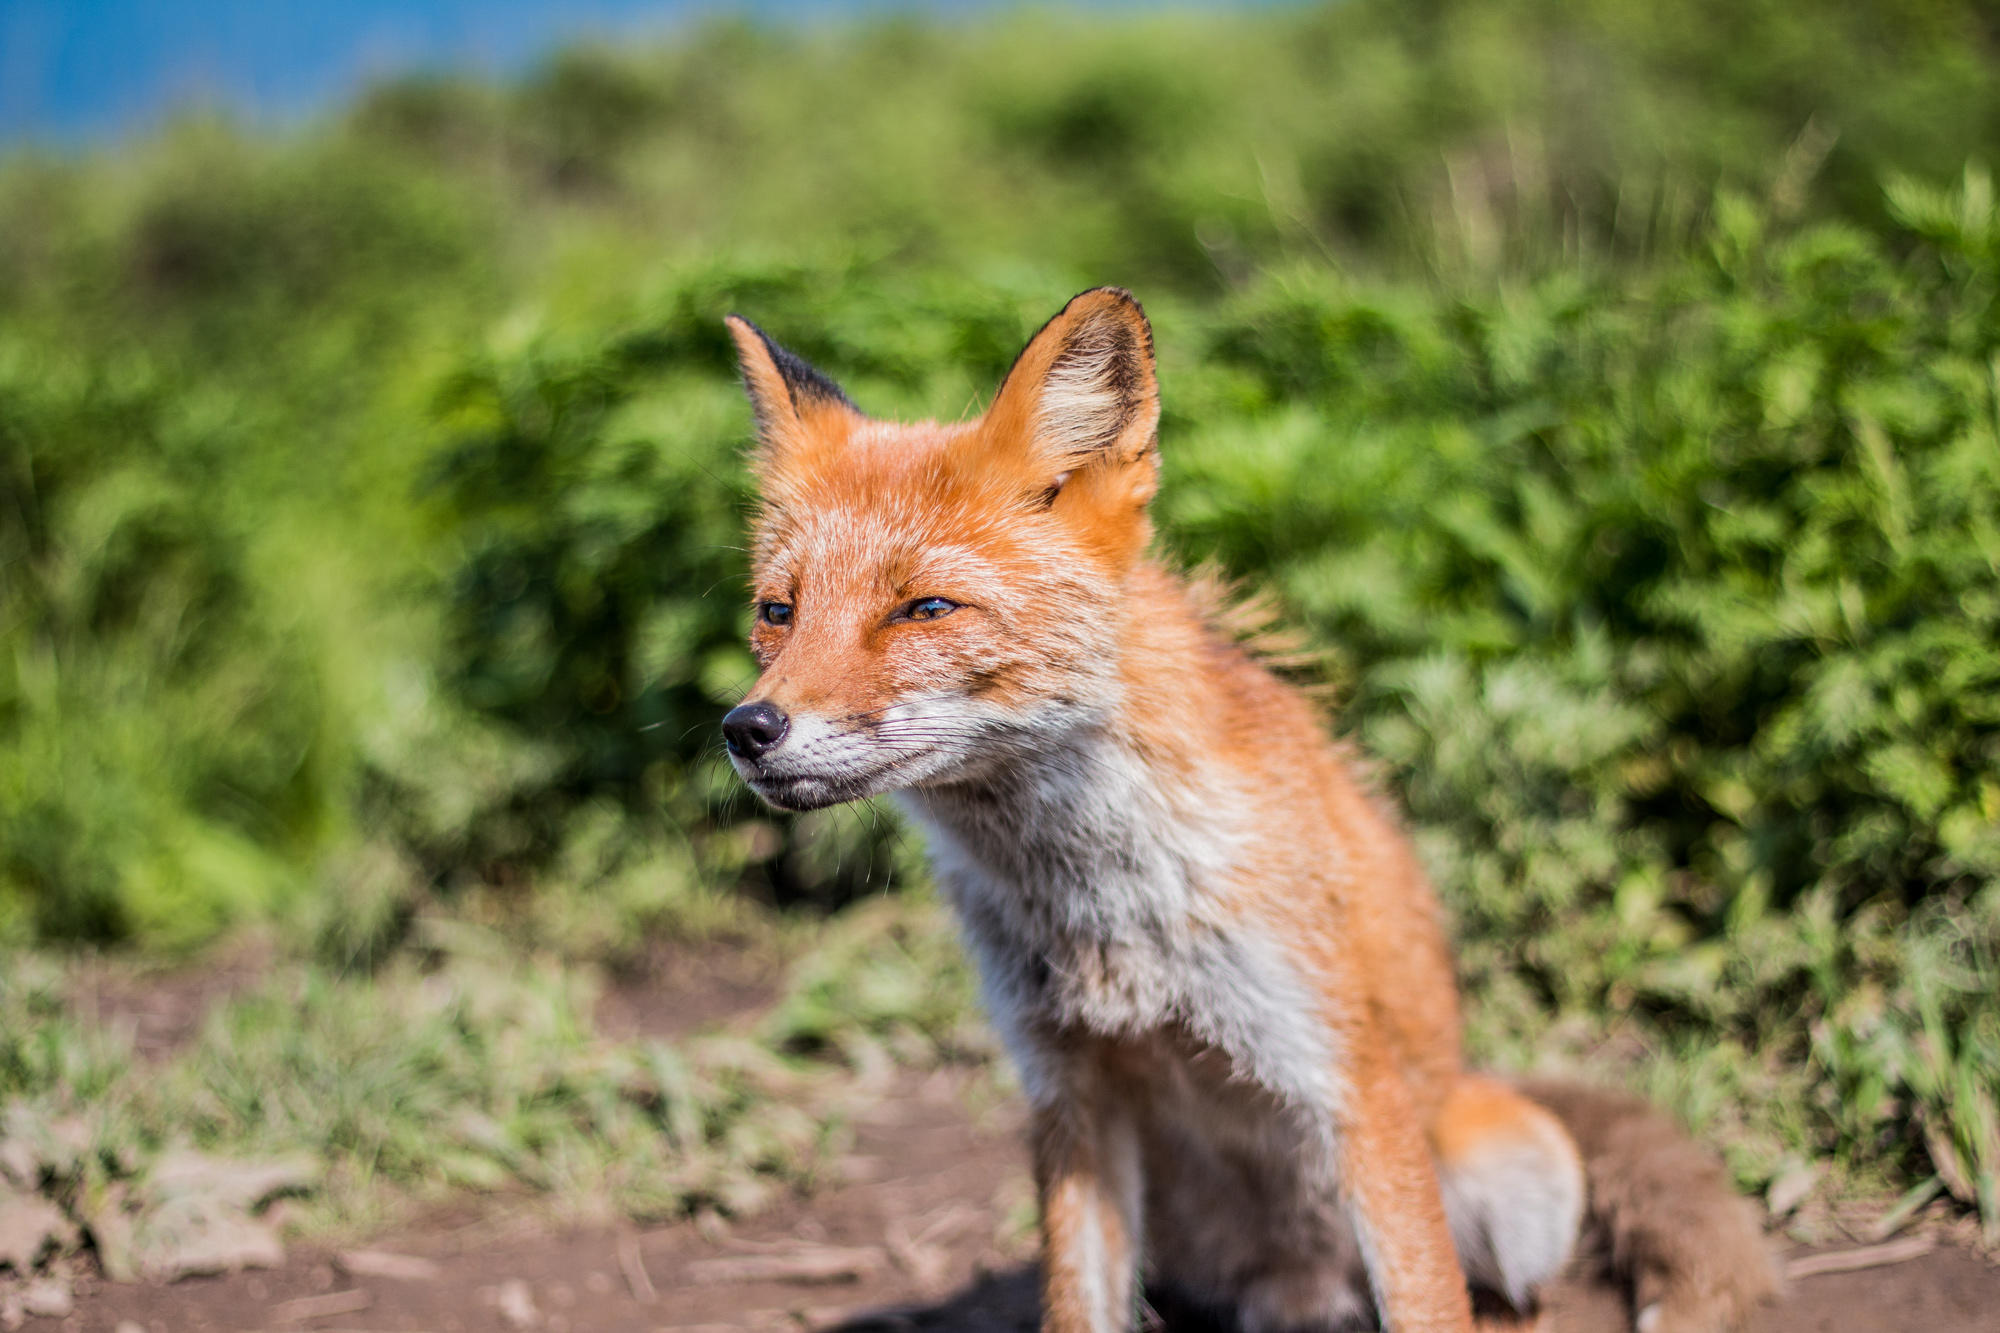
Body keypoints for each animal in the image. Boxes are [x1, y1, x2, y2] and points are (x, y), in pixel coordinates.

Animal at [724, 290, 1784, 1328]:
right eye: (779, 612)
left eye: (927, 609)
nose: (747, 727)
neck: (1104, 903)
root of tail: (1302, 1288)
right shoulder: (1069, 1090)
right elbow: (1076, 1308)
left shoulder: (1346, 1081)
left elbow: (1429, 1303)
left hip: (1516, 1182)